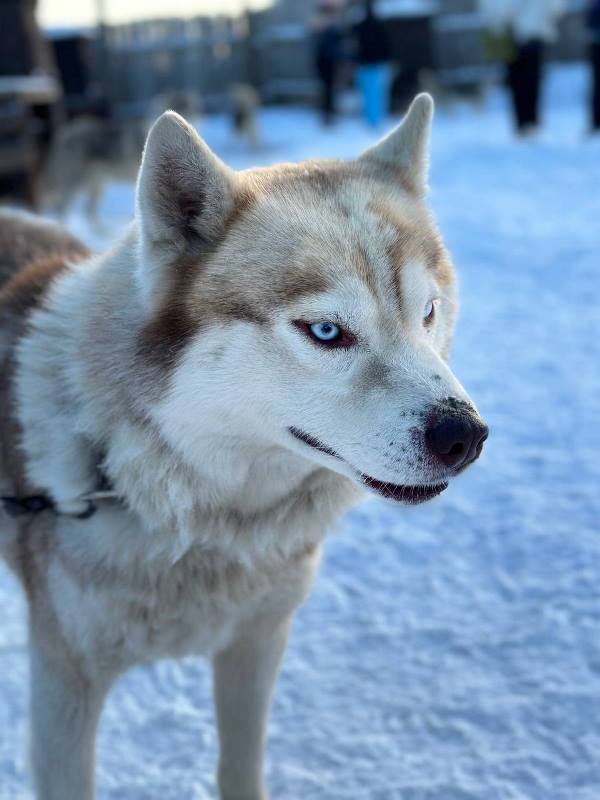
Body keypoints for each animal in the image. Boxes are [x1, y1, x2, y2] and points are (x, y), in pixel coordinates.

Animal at [0, 95, 488, 800]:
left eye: (428, 312)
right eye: (325, 331)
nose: (465, 436)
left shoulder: (255, 648)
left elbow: (241, 767)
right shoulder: (65, 693)